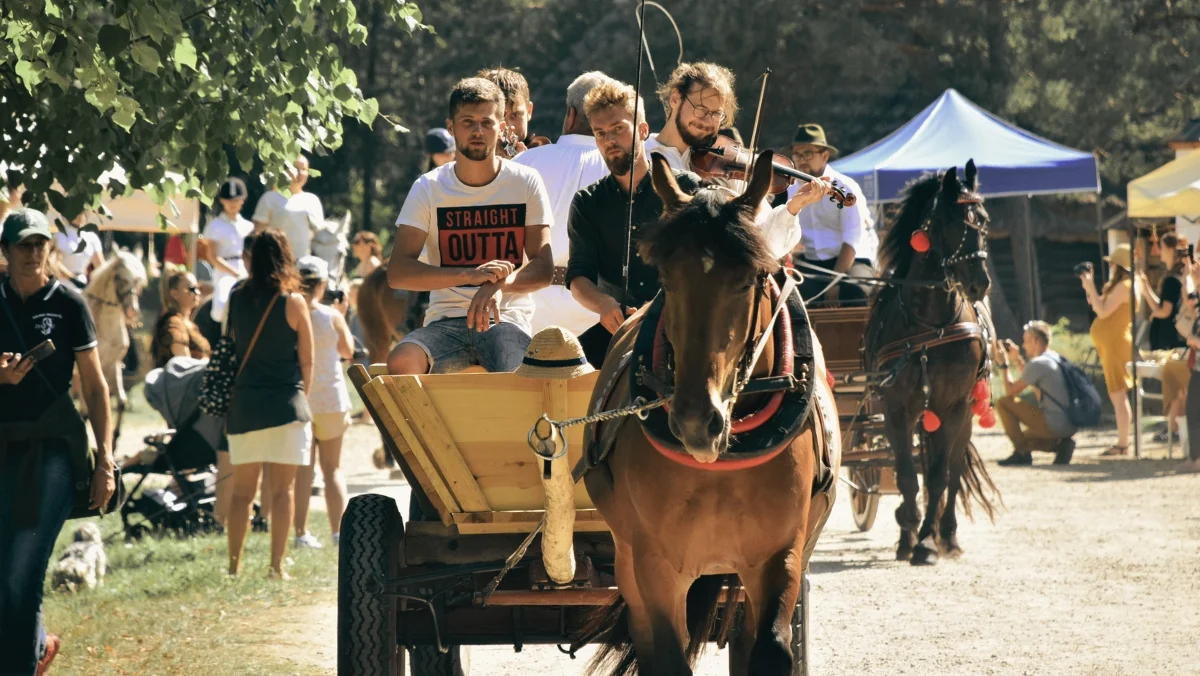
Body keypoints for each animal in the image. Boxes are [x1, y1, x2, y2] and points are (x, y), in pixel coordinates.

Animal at [81, 248, 147, 439]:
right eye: (119, 277)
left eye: (138, 280)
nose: (132, 311)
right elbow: (86, 410)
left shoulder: (113, 365)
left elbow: (122, 402)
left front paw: (115, 437)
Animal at [578, 153, 835, 676]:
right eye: (667, 280)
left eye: (749, 279)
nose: (697, 422)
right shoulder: (655, 565)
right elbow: (666, 656)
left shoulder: (780, 556)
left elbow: (770, 649)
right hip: (629, 559)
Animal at [864, 160, 1003, 569]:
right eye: (950, 223)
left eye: (983, 221)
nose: (980, 284)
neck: (931, 324)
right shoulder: (896, 407)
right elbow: (907, 476)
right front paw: (909, 533)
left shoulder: (954, 406)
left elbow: (940, 476)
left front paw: (928, 541)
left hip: (967, 413)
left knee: (953, 471)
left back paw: (949, 535)